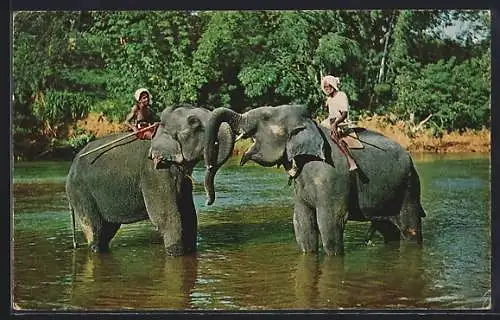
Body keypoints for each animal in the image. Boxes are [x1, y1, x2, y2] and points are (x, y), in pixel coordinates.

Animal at [65, 104, 234, 256]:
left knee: (107, 231)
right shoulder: (154, 172)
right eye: (195, 124)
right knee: (95, 229)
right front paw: (176, 254)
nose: (208, 201)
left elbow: (189, 213)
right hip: (80, 192)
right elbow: (166, 218)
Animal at [203, 105, 426, 255]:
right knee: (388, 231)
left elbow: (330, 222)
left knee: (410, 229)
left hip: (409, 187)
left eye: (265, 116)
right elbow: (302, 223)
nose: (208, 201)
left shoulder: (332, 177)